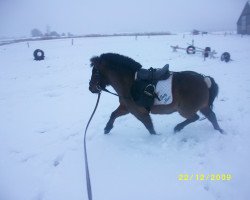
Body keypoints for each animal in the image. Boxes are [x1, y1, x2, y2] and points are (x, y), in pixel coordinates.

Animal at [88, 52, 223, 135]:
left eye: (95, 72)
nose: (90, 88)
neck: (130, 83)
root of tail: (204, 79)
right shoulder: (126, 107)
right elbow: (113, 114)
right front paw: (107, 128)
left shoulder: (139, 112)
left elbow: (150, 127)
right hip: (203, 106)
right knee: (212, 116)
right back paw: (220, 131)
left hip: (185, 110)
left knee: (195, 117)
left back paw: (178, 128)